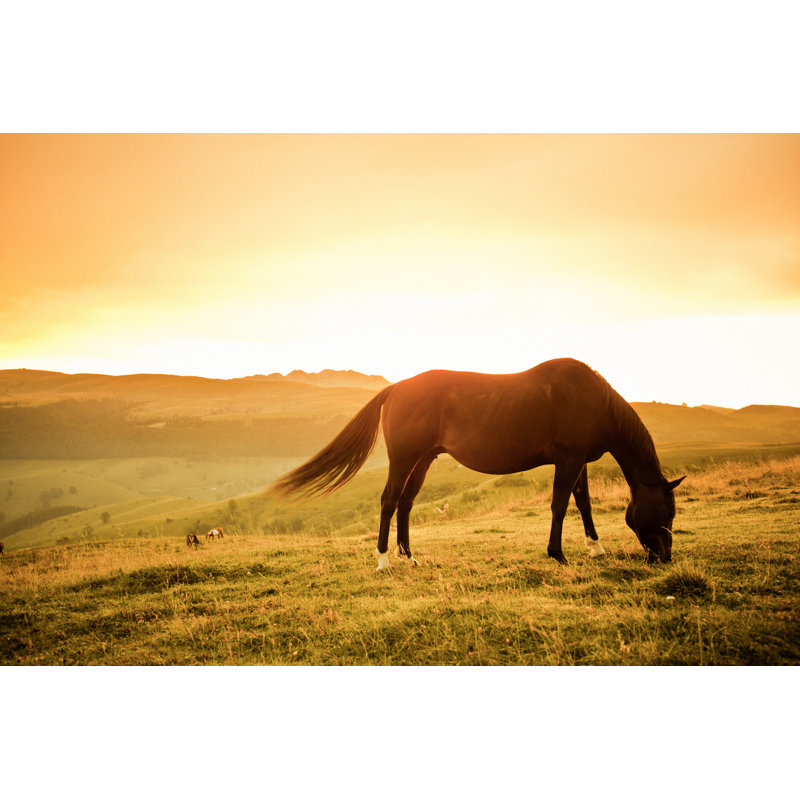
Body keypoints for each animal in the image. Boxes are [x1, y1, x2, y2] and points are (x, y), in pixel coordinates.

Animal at [271, 358, 685, 571]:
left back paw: (410, 556)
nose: (663, 557)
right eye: (667, 512)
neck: (593, 400)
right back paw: (384, 560)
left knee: (405, 504)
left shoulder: (578, 460)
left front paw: (595, 549)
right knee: (389, 502)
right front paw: (558, 554)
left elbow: (582, 503)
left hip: (423, 460)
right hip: (404, 458)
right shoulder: (568, 460)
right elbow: (559, 505)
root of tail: (397, 387)